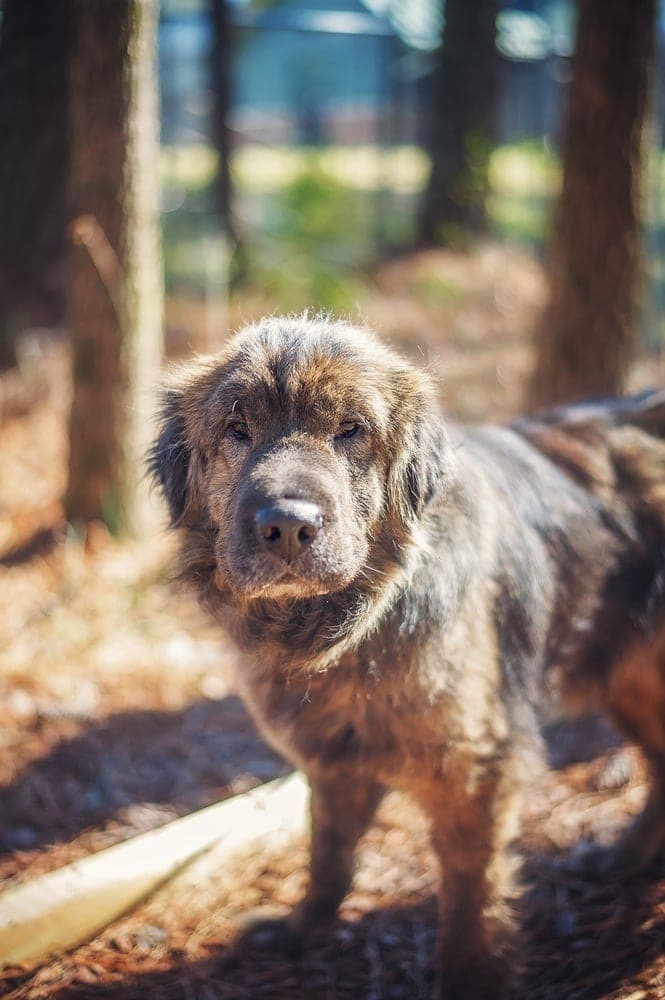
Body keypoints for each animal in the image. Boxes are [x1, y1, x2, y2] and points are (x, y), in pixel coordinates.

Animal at [149, 318, 664, 1000]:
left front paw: (471, 979)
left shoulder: (475, 773)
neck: (353, 634)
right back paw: (624, 859)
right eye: (238, 428)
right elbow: (328, 858)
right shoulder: (335, 763)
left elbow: (471, 907)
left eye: (351, 430)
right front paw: (300, 931)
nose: (287, 525)